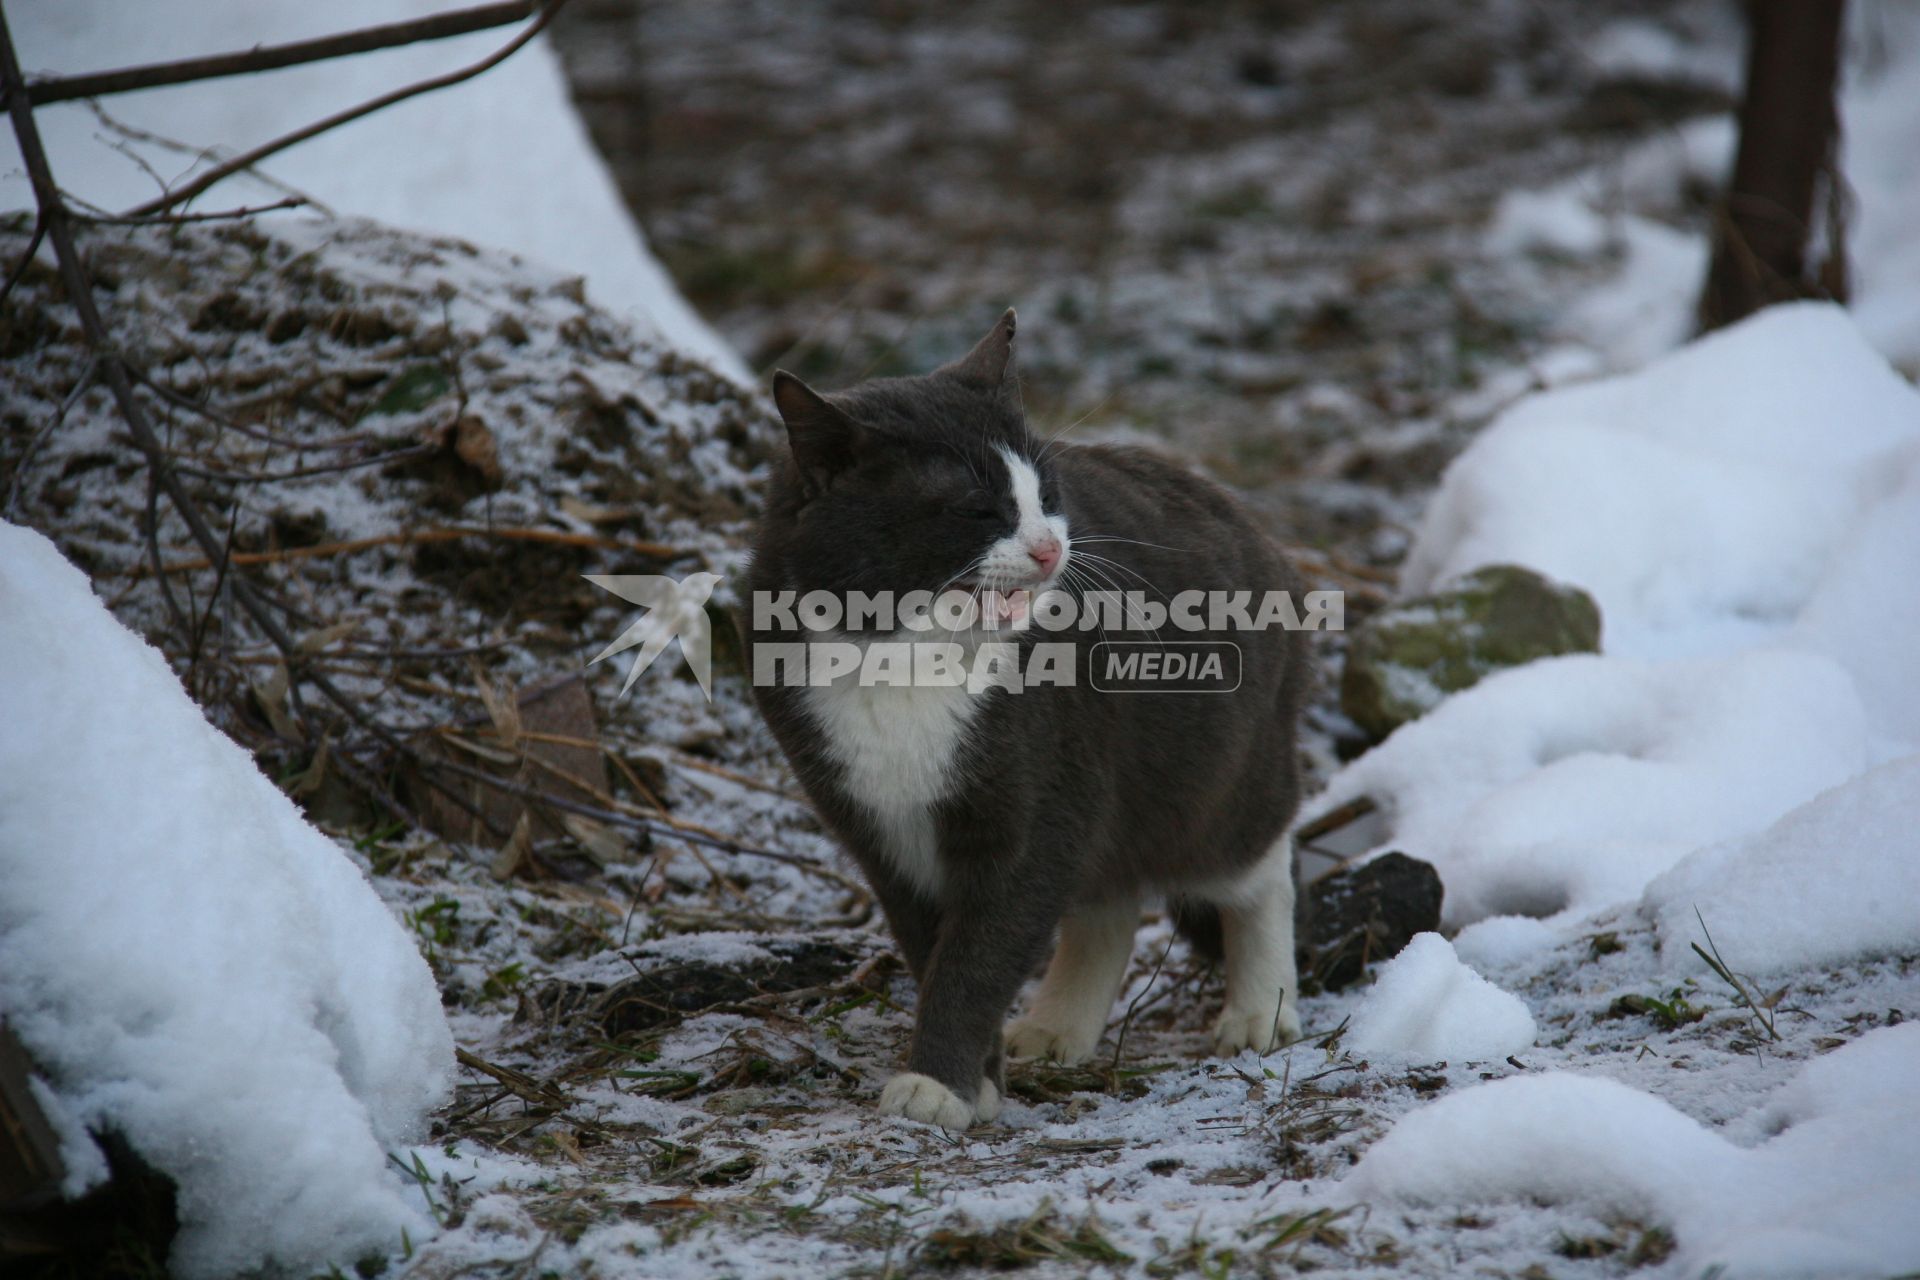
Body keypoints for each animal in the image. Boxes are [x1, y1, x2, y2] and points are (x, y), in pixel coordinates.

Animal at [741, 312, 1313, 1128]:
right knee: (1108, 902)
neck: (901, 656)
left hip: (1216, 771)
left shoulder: (1036, 799)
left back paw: (1261, 1009)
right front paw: (978, 1082)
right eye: (979, 509)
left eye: (1045, 492)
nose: (1050, 548)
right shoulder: (879, 830)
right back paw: (1056, 1028)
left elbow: (982, 952)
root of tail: (1258, 529)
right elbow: (935, 947)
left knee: (1258, 861)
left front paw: (937, 1085)